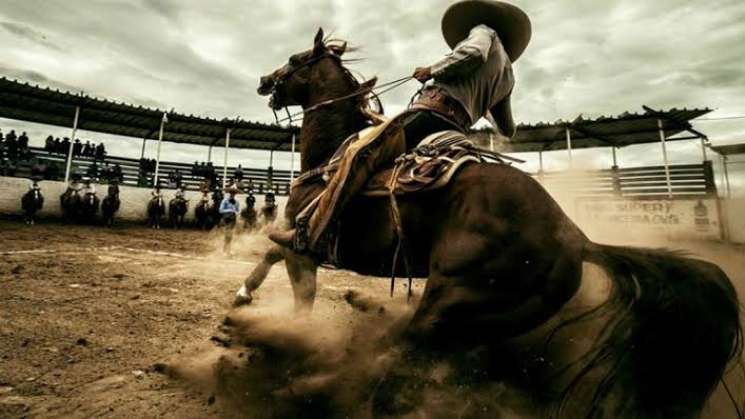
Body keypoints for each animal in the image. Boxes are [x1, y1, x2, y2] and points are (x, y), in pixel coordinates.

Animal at [230, 27, 740, 418]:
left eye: (295, 59)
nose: (263, 80)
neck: (332, 152)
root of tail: (575, 237)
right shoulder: (296, 240)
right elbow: (270, 254)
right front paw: (243, 297)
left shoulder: (305, 242)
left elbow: (295, 286)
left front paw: (258, 313)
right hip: (484, 320)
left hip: (451, 303)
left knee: (398, 354)